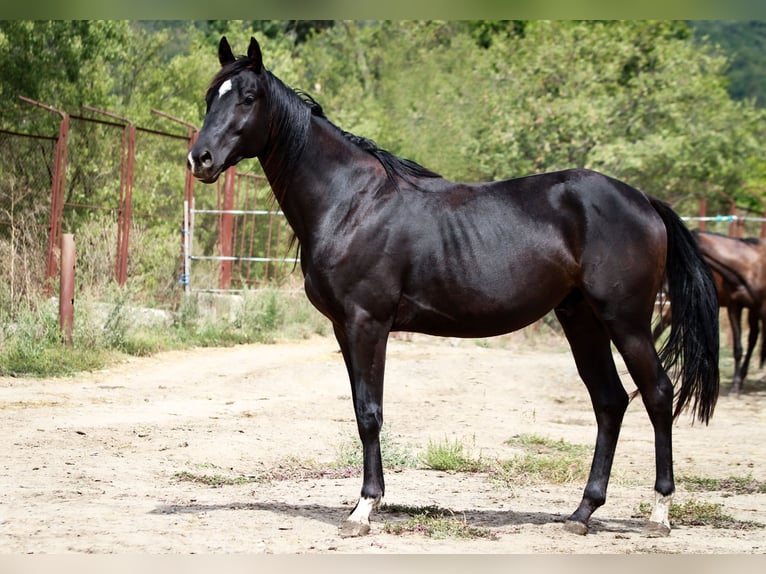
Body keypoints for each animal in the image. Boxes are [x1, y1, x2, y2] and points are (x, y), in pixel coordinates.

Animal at [189, 36, 724, 540]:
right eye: (210, 96)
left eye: (249, 97)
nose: (201, 158)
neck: (351, 202)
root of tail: (644, 200)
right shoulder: (344, 328)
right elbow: (361, 410)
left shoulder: (368, 323)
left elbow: (369, 412)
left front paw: (364, 509)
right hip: (581, 318)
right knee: (610, 401)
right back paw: (582, 513)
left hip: (625, 319)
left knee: (658, 394)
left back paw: (659, 513)